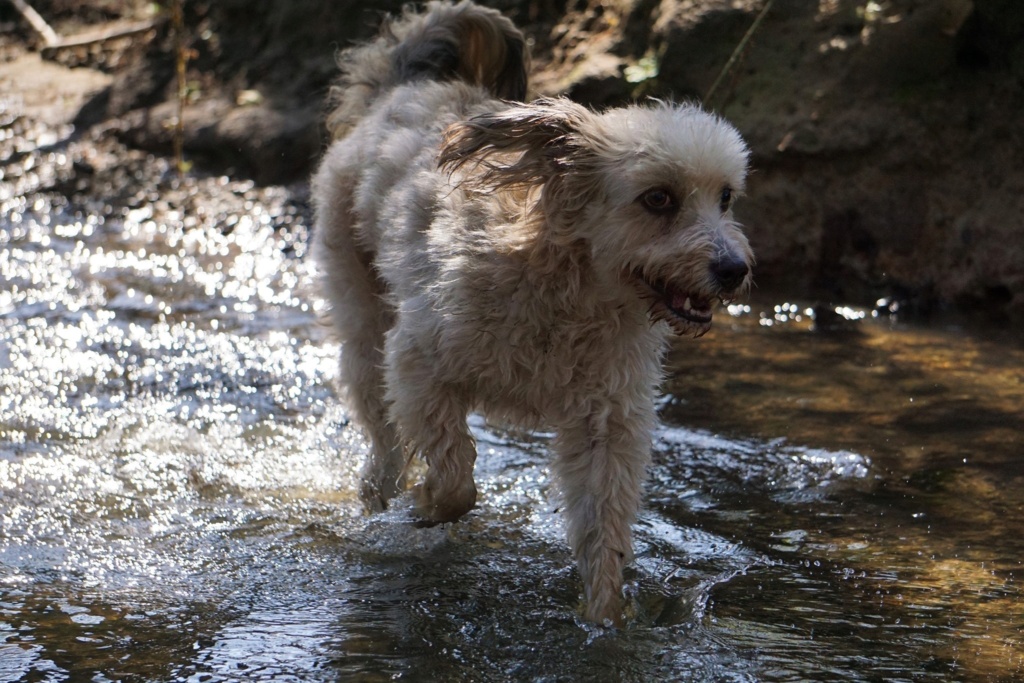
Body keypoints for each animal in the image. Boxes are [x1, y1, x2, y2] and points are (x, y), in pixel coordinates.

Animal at [311, 0, 753, 626]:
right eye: (658, 198)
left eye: (725, 197)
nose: (734, 269)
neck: (571, 288)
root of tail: (407, 84)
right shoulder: (419, 362)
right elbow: (456, 478)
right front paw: (429, 503)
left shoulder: (607, 422)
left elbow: (603, 526)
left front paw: (606, 616)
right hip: (362, 323)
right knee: (382, 433)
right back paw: (381, 490)